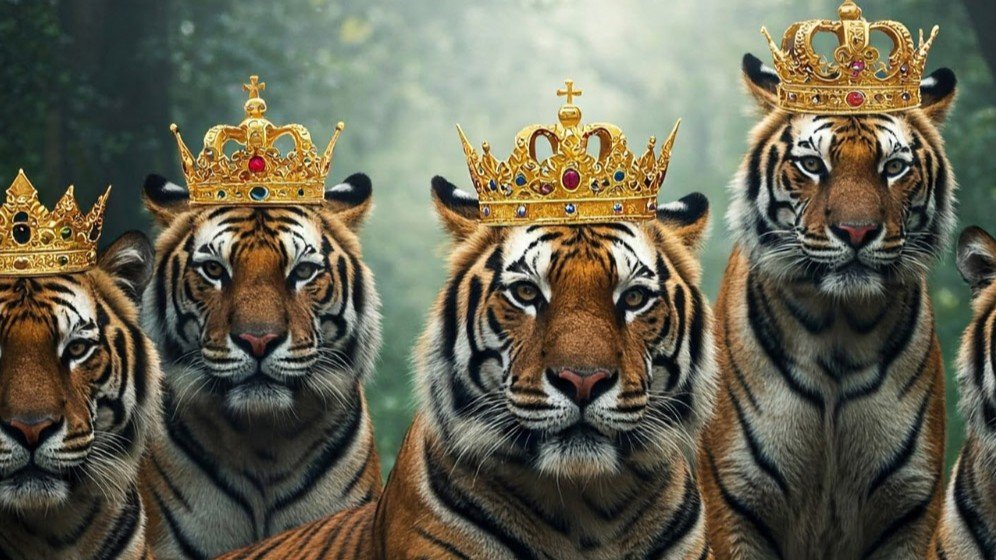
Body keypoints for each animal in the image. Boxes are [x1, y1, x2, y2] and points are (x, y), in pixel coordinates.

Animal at [697, 53, 958, 559]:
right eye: (812, 164)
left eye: (894, 166)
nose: (857, 231)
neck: (840, 330)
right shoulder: (737, 499)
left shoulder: (910, 505)